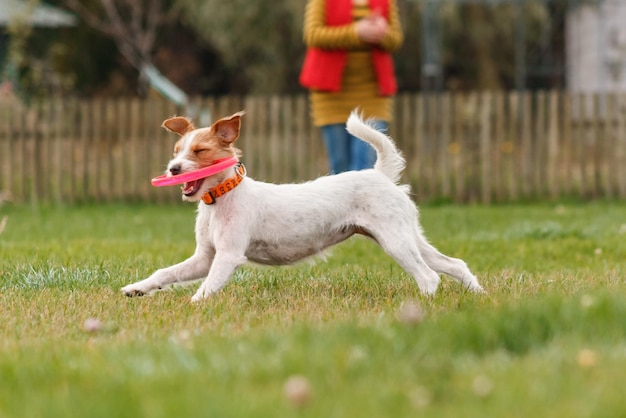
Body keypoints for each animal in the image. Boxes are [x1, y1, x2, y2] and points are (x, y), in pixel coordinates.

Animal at [122, 110, 482, 300]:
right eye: (176, 150)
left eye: (199, 151)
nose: (173, 169)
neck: (221, 198)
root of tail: (380, 174)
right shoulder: (204, 257)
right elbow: (167, 272)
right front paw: (137, 288)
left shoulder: (227, 256)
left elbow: (208, 287)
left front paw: (193, 305)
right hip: (409, 237)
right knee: (453, 264)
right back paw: (477, 294)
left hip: (395, 242)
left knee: (429, 277)